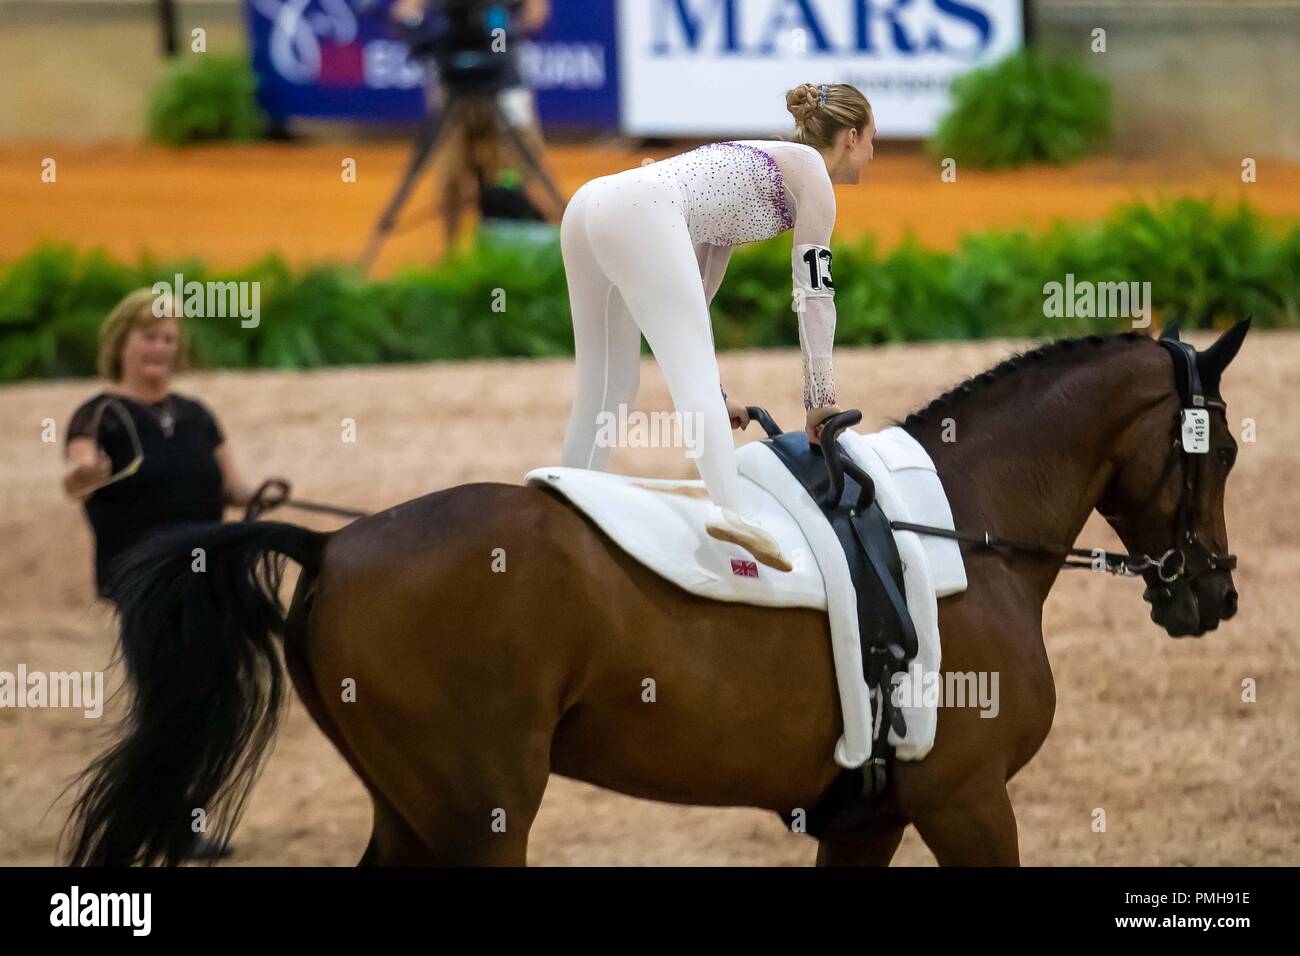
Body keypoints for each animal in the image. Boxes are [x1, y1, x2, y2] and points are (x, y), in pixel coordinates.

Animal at [68, 321, 1248, 868]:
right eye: (1224, 450)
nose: (1212, 596)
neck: (955, 525)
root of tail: (334, 543)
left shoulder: (871, 813)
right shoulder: (964, 800)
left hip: (411, 812)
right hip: (479, 817)